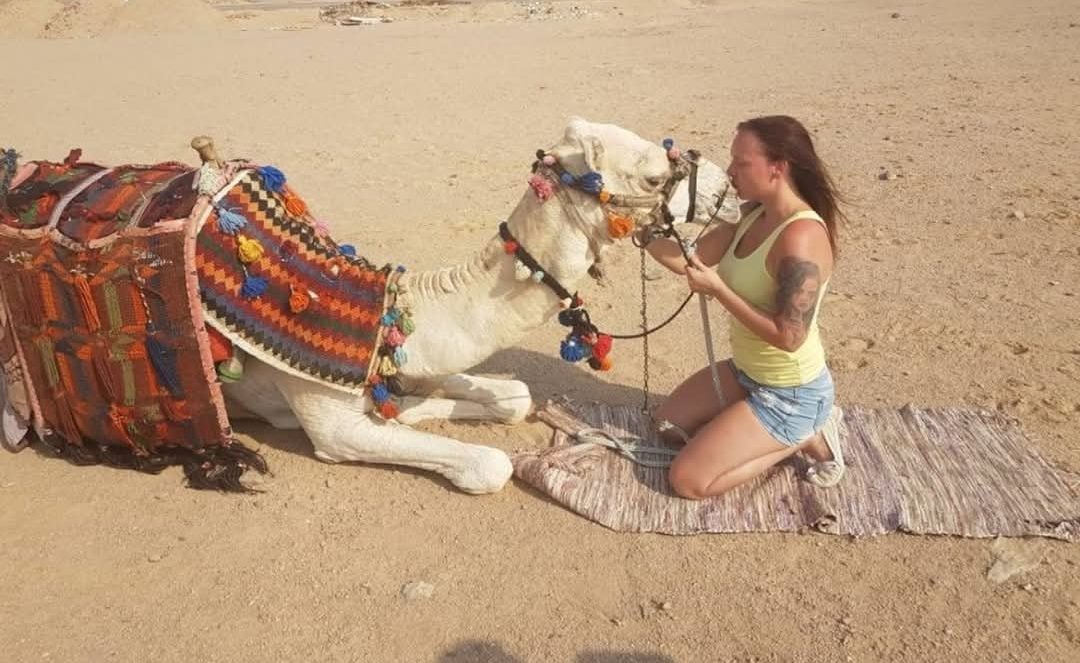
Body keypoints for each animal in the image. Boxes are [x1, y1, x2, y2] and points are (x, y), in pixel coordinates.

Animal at [1, 119, 733, 494]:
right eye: (653, 173)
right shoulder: (327, 422)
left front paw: (437, 403)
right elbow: (487, 465)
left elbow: (511, 394)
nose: (725, 189)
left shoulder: (403, 357)